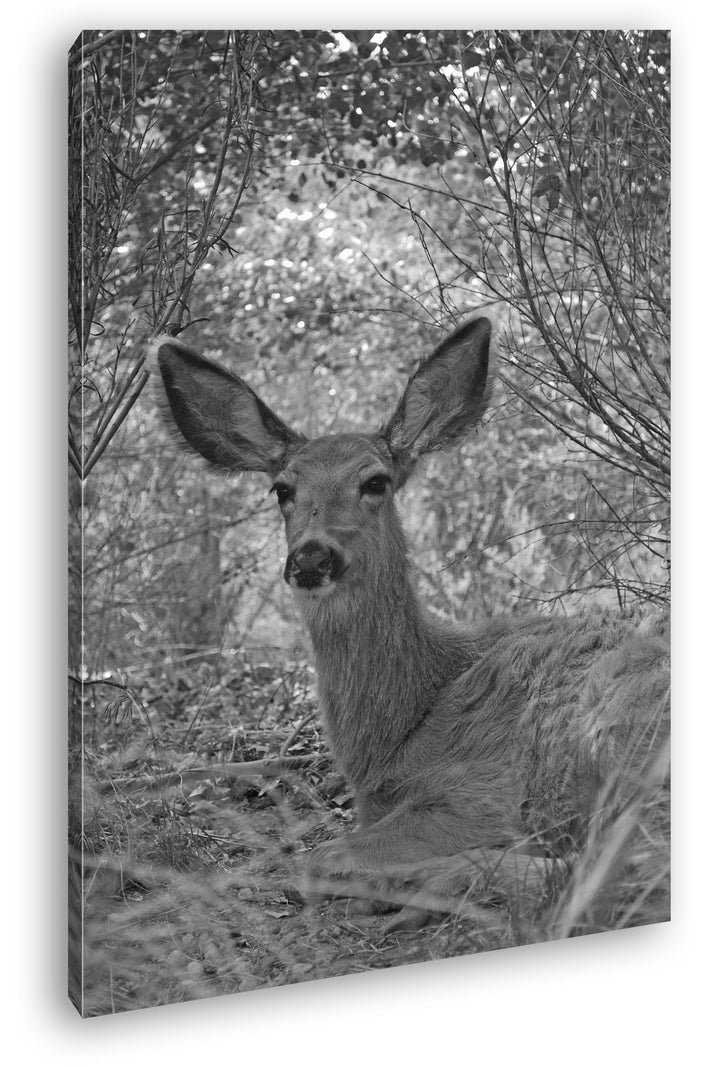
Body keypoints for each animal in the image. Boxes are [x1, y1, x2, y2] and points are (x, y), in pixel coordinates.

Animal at [154, 317, 670, 930]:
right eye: (282, 489)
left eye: (375, 481)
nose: (311, 557)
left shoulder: (482, 791)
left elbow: (318, 857)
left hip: (616, 731)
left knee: (629, 863)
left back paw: (420, 887)